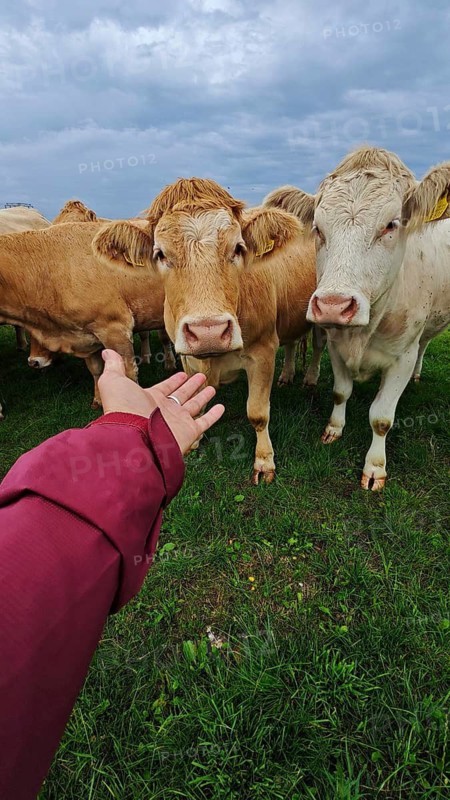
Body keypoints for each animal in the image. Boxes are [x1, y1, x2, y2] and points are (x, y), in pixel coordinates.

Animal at [0, 221, 170, 413]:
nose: (33, 362)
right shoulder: (87, 335)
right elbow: (96, 370)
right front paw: (98, 400)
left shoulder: (115, 330)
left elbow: (127, 374)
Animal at [91, 178, 324, 483]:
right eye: (160, 254)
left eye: (238, 248)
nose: (208, 332)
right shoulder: (188, 358)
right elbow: (195, 401)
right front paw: (192, 439)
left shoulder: (263, 352)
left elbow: (257, 413)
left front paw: (264, 461)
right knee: (292, 343)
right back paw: (287, 376)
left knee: (317, 346)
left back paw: (309, 378)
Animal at [264, 145, 450, 490]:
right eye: (317, 229)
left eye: (391, 225)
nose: (333, 305)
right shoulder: (336, 346)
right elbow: (341, 392)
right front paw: (333, 430)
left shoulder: (402, 357)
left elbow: (381, 417)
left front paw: (375, 467)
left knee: (424, 346)